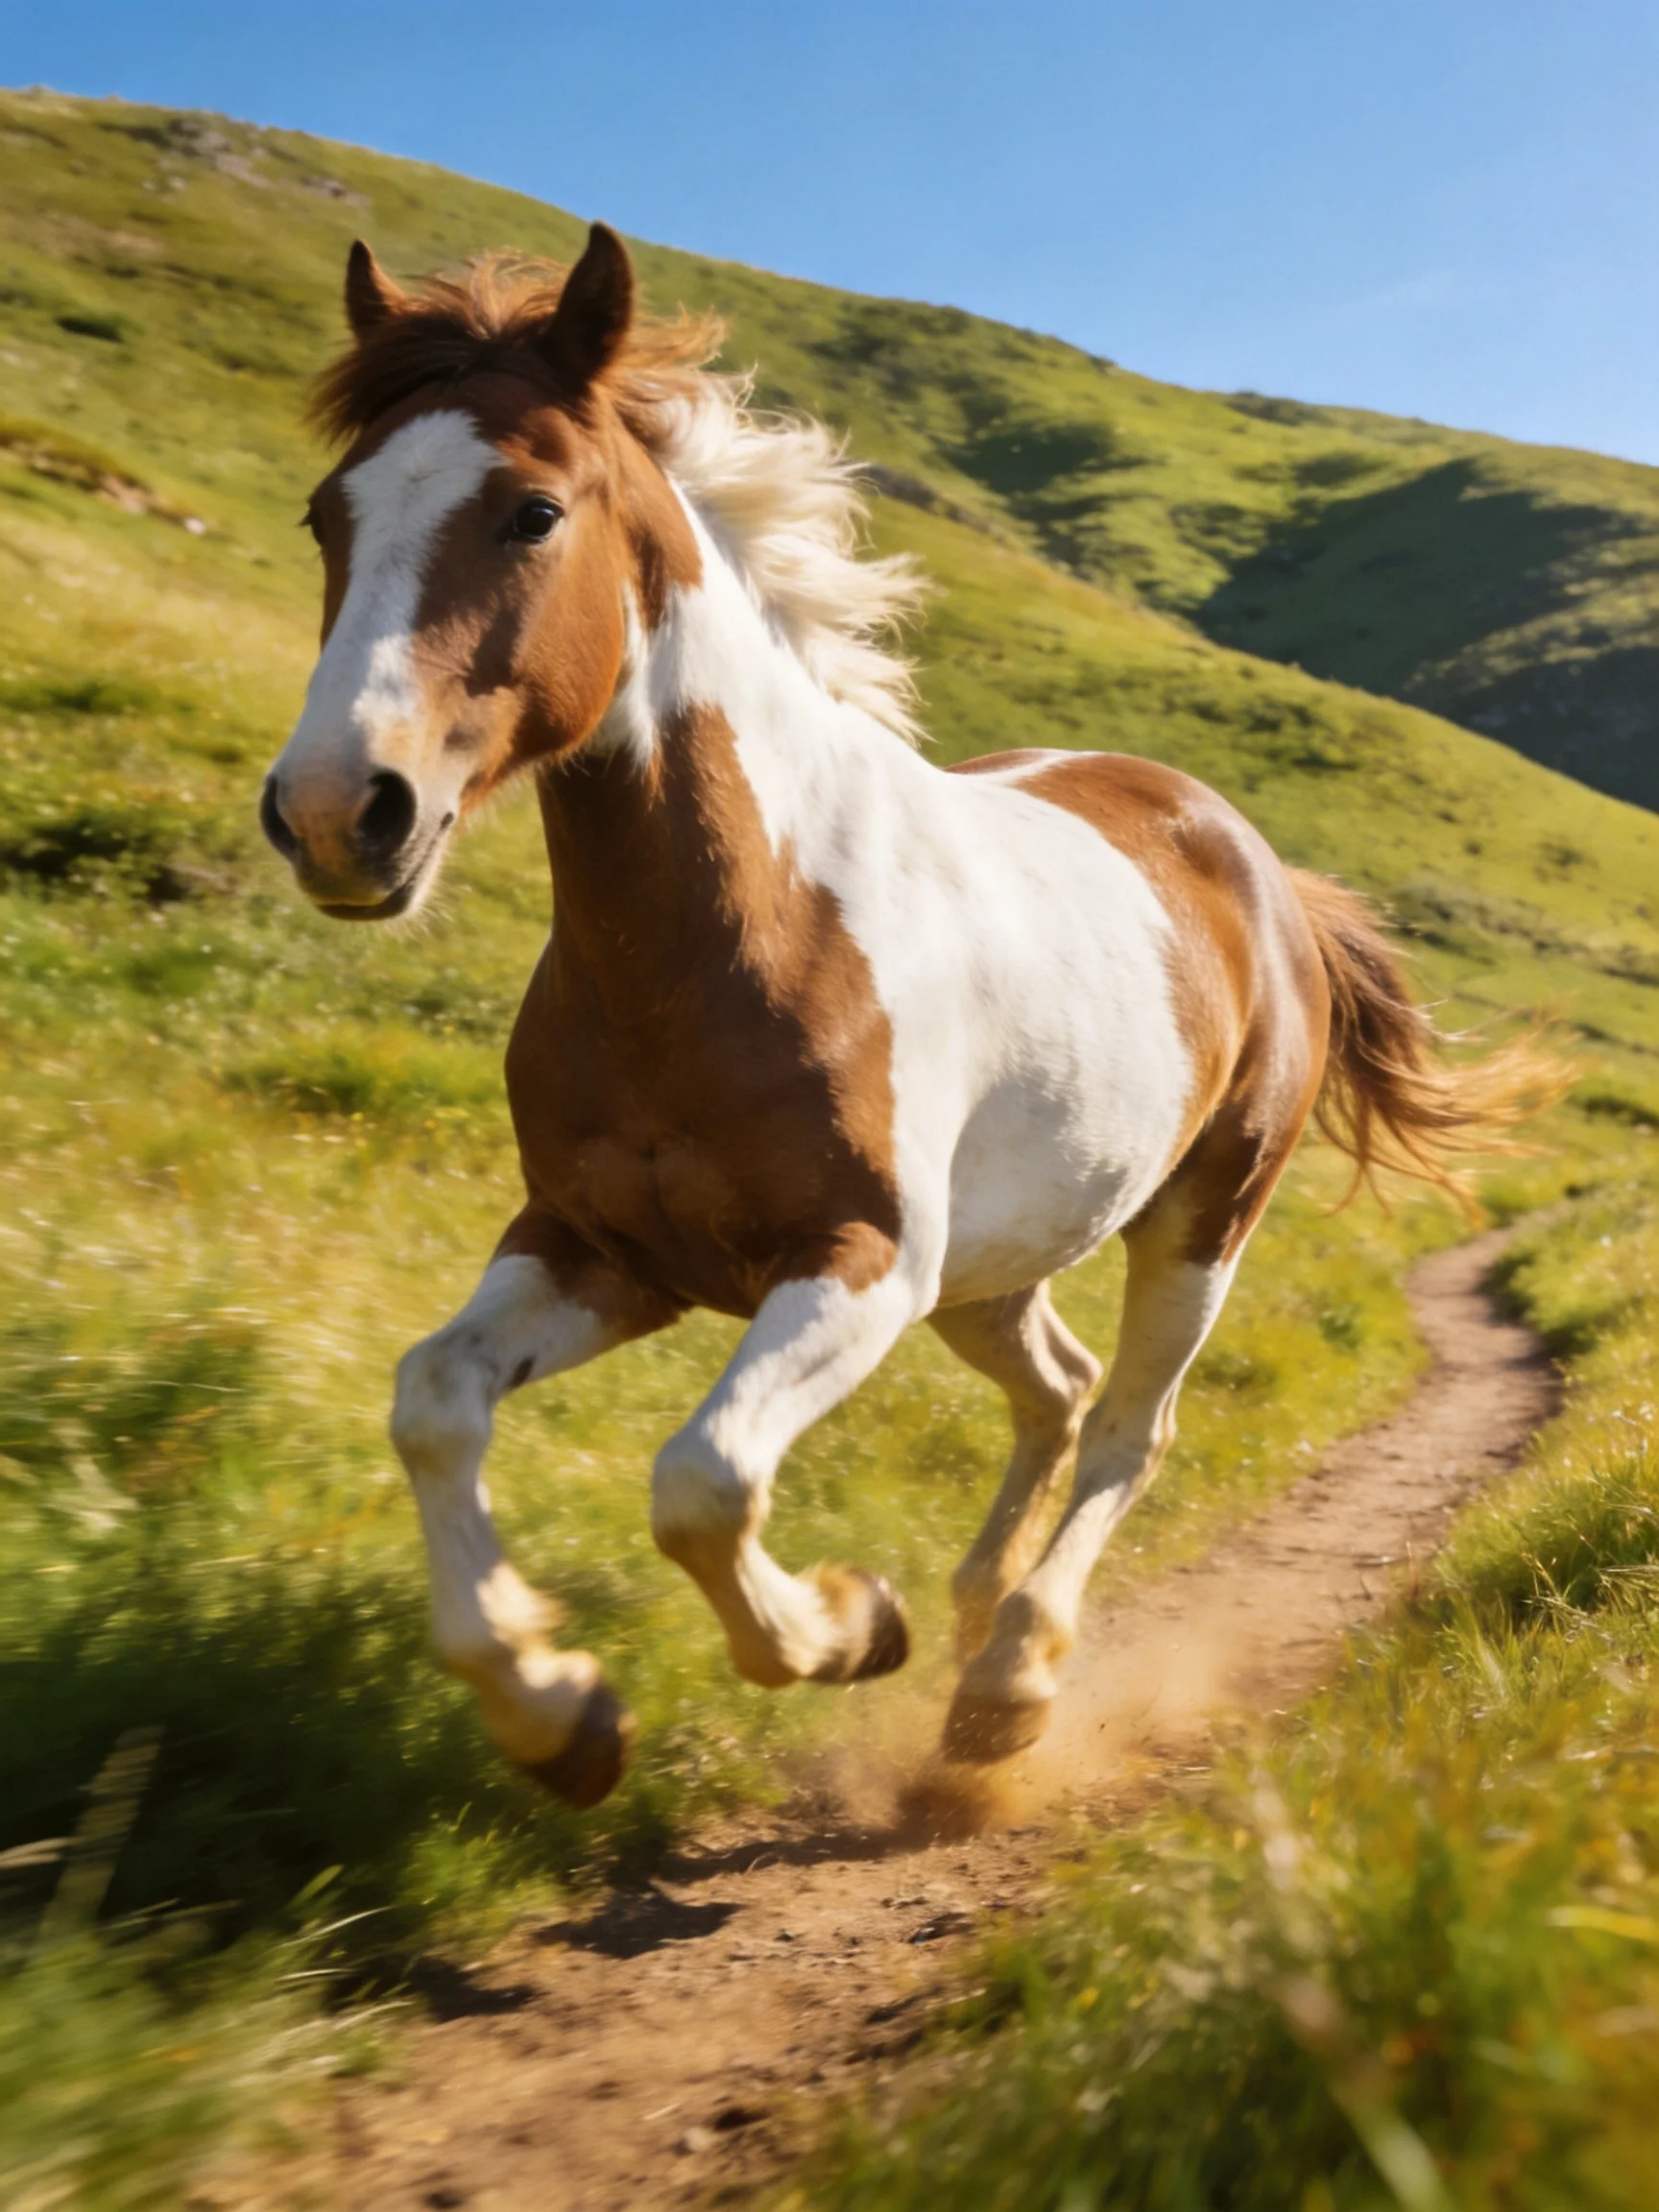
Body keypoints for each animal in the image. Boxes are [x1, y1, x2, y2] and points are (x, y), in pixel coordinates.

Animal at [261, 224, 1546, 1808]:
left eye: (532, 511)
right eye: (327, 512)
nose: (337, 813)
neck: (720, 946)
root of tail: (1262, 867)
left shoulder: (858, 1260)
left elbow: (703, 1482)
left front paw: (844, 1627)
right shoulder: (598, 1252)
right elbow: (433, 1400)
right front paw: (557, 1711)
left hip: (1198, 1223)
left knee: (1130, 1427)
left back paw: (1008, 1682)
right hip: (992, 1266)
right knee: (1057, 1391)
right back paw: (981, 1606)